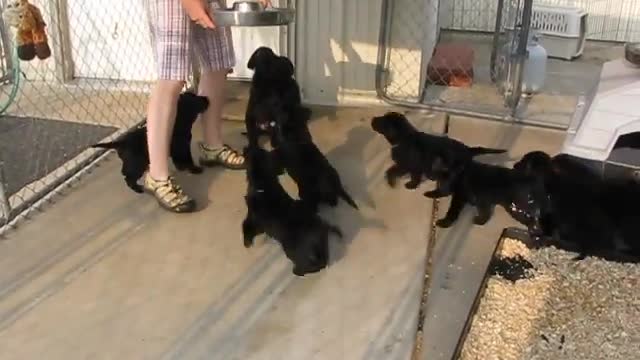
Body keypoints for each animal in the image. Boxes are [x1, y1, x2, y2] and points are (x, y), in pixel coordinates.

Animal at [241, 145, 342, 278]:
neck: (263, 185)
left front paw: (247, 242)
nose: (245, 147)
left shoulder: (254, 221)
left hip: (291, 250)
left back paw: (297, 271)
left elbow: (245, 226)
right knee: (323, 261)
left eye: (251, 150)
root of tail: (323, 228)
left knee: (314, 265)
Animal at [370, 112, 504, 194]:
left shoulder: (410, 166)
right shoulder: (404, 165)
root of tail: (468, 149)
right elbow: (391, 170)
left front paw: (406, 185)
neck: (404, 139)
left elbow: (400, 173)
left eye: (382, 122)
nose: (372, 119)